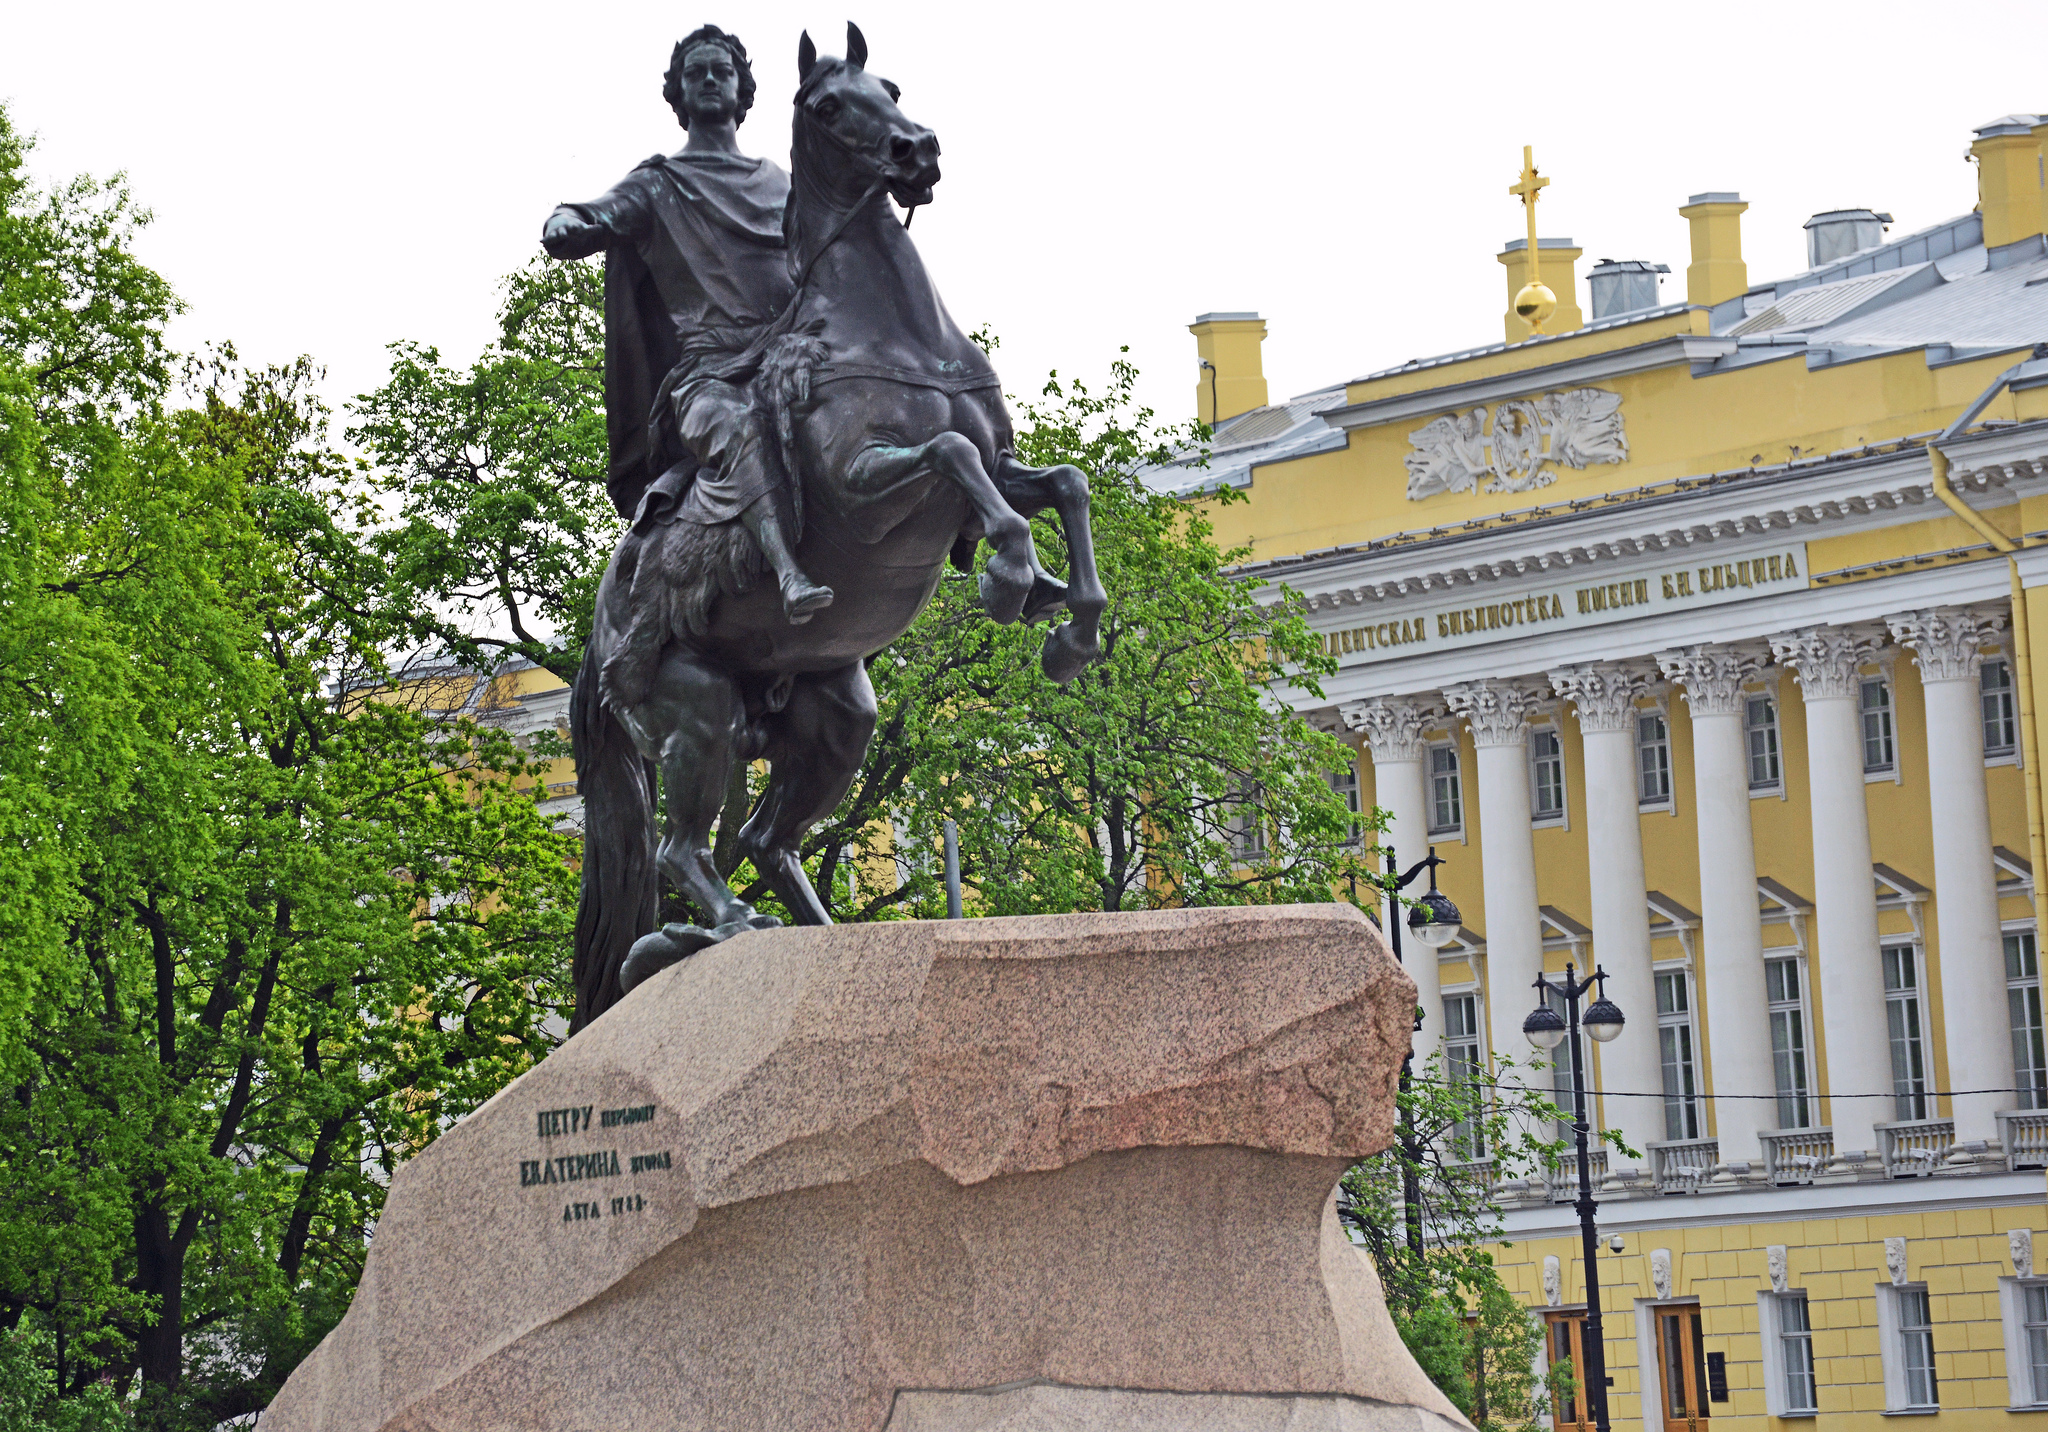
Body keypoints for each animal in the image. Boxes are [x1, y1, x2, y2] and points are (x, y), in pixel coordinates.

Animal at [569, 25, 1114, 1032]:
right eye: (827, 106)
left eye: (890, 87)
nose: (918, 150)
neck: (891, 335)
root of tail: (596, 641)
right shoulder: (865, 489)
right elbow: (952, 454)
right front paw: (1009, 577)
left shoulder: (1004, 465)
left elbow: (1064, 481)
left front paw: (1071, 623)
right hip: (698, 715)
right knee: (683, 850)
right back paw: (729, 926)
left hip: (834, 722)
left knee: (765, 838)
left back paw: (818, 939)